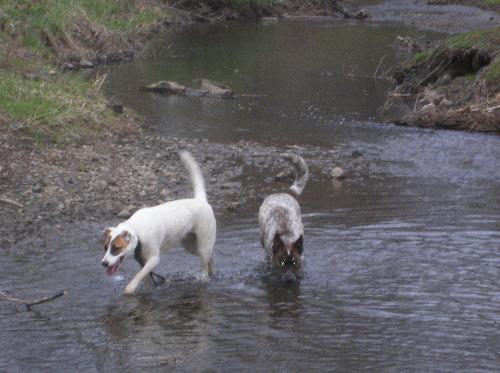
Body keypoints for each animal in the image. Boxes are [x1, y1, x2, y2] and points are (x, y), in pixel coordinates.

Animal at [102, 150, 217, 294]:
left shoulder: (153, 259)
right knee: (210, 257)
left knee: (205, 264)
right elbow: (144, 276)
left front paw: (129, 289)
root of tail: (200, 200)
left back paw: (204, 279)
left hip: (203, 245)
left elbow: (138, 276)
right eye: (105, 247)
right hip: (191, 246)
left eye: (116, 248)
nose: (104, 263)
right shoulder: (142, 260)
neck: (138, 232)